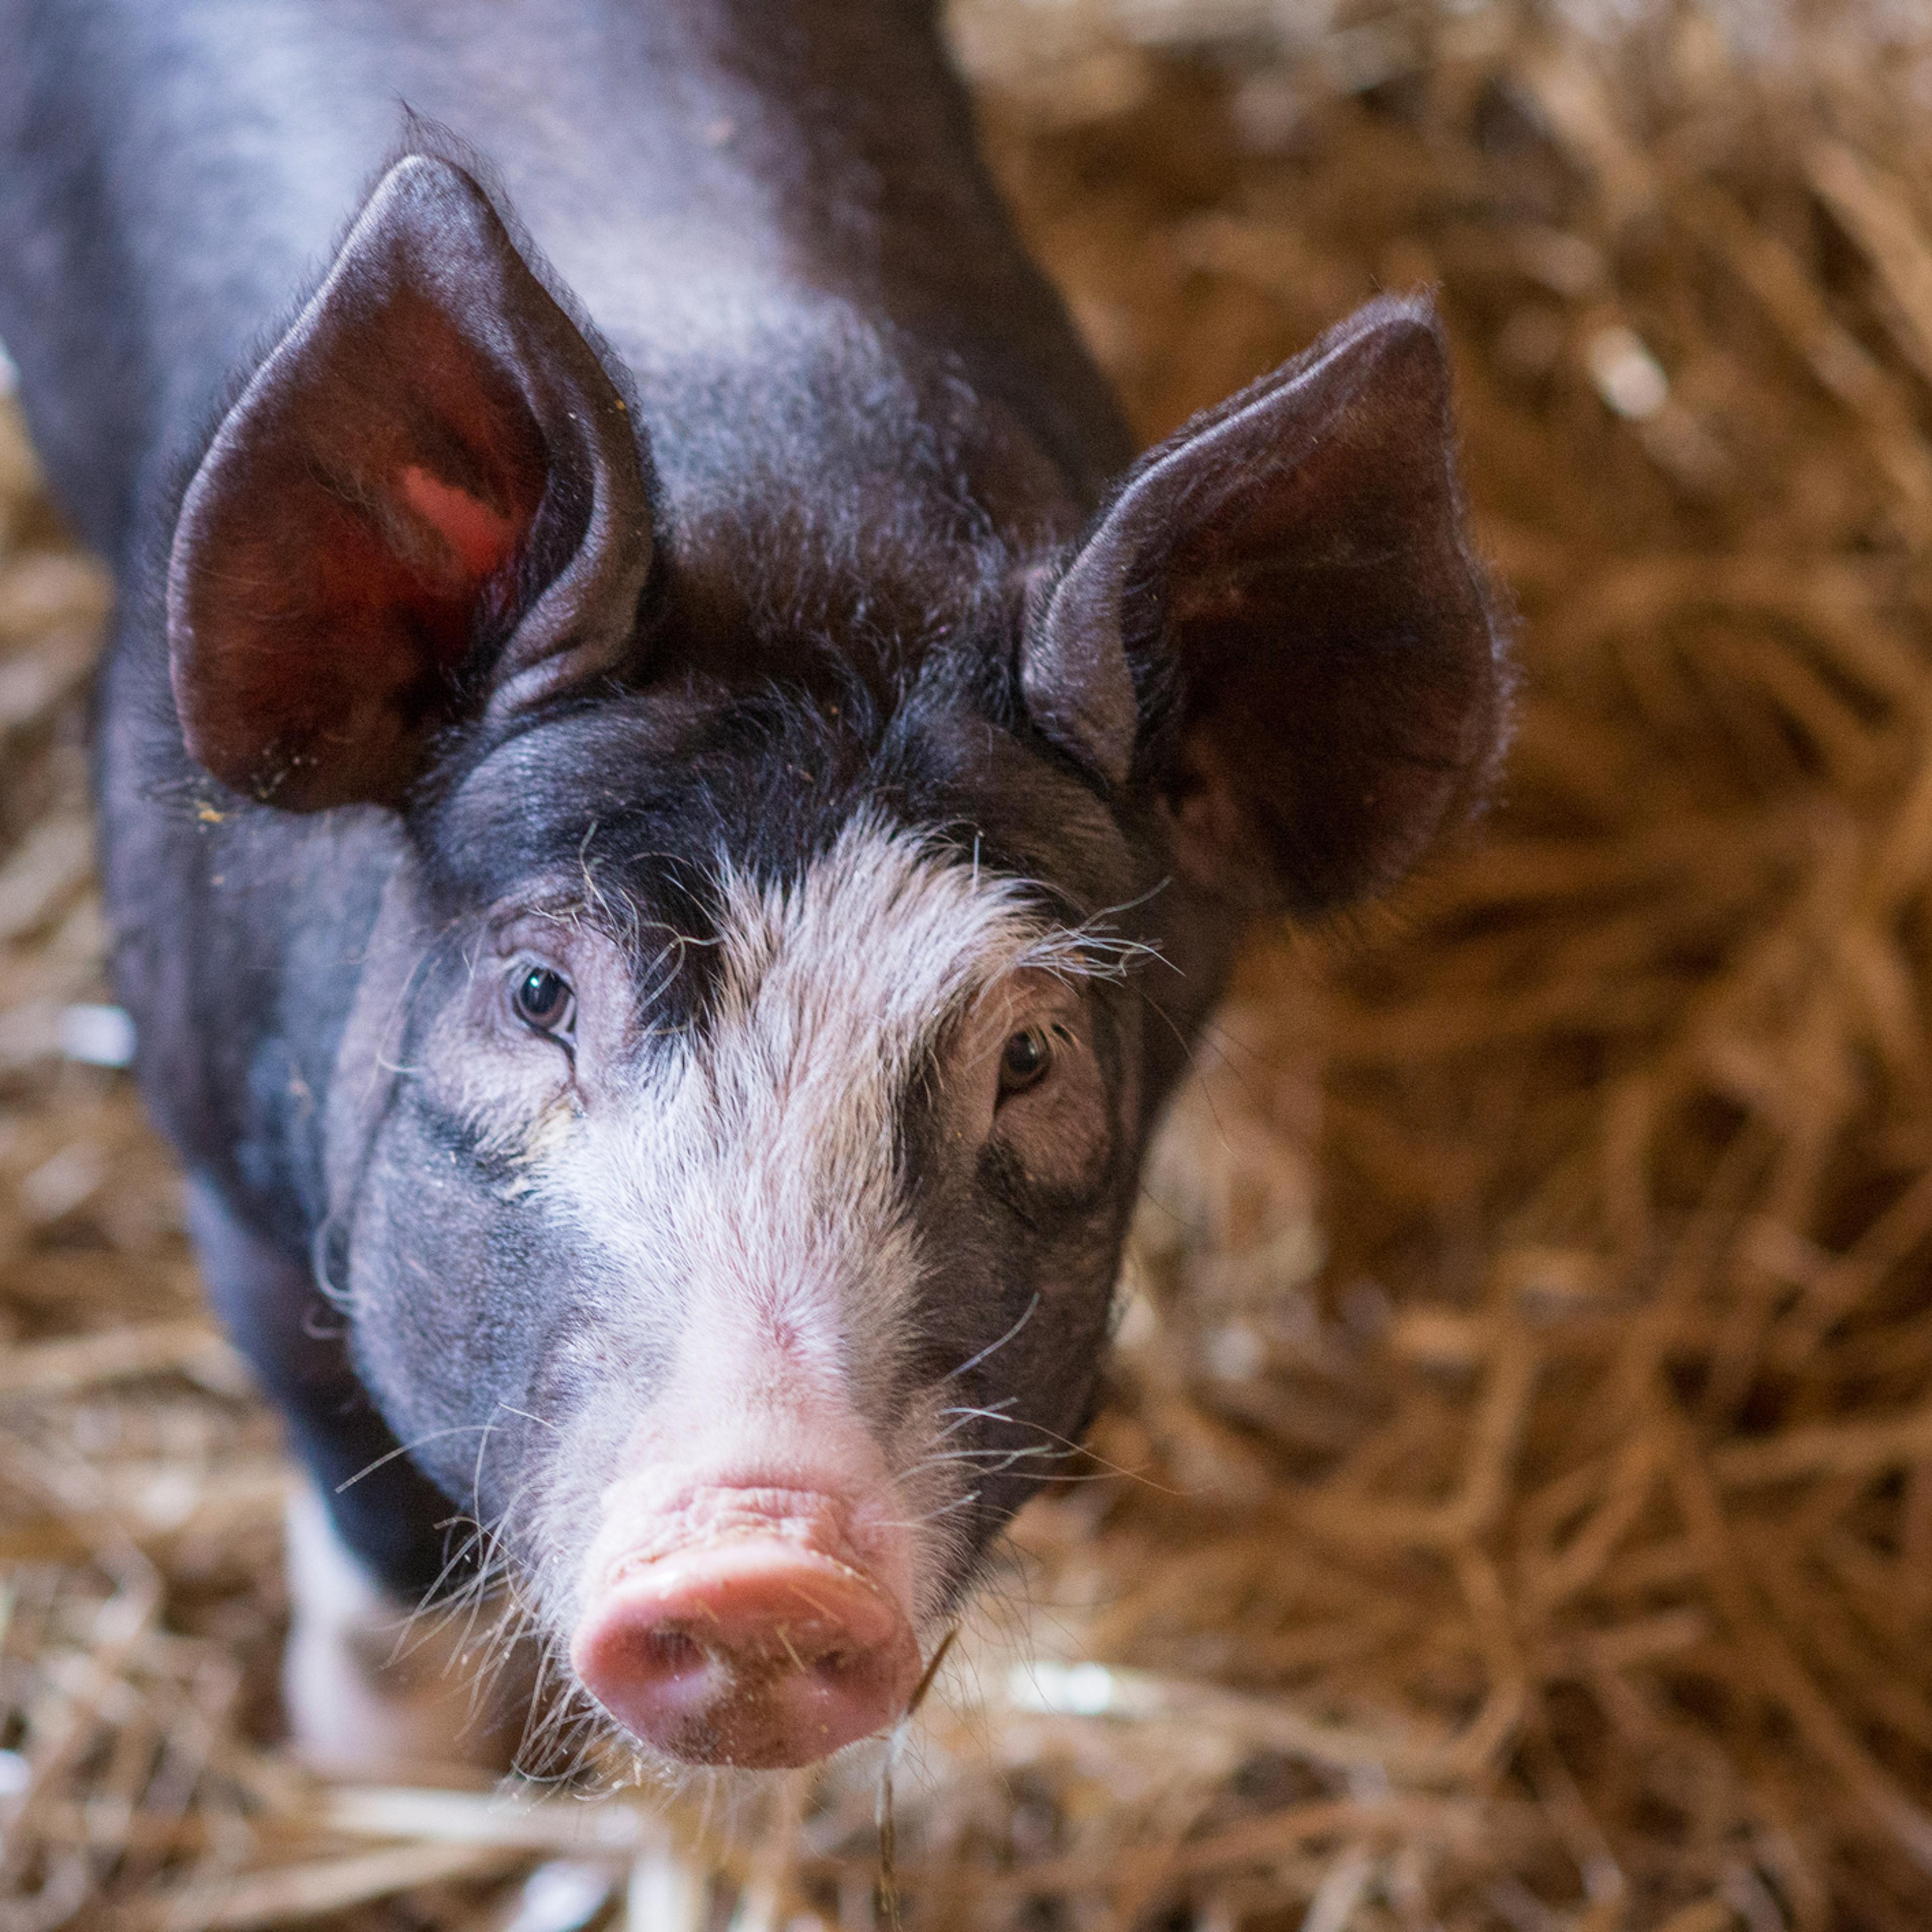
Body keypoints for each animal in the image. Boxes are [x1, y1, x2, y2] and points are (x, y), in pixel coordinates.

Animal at [0, 0, 1508, 1774]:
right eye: (537, 991)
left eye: (1031, 1055)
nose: (761, 1565)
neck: (817, 524)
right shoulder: (226, 1169)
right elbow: (371, 1512)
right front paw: (388, 1774)